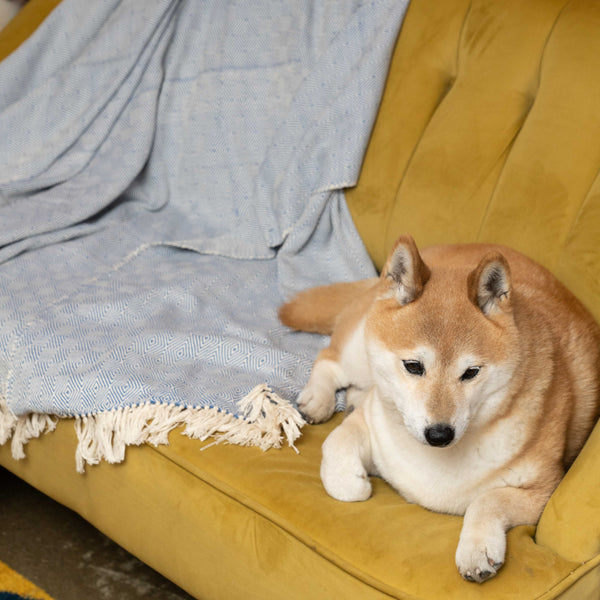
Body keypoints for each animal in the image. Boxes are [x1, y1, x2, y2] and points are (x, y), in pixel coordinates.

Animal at [280, 237, 600, 584]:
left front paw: (476, 548)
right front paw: (351, 483)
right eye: (413, 366)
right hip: (357, 352)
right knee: (329, 359)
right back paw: (319, 398)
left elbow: (488, 500)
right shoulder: (371, 421)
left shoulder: (544, 489)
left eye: (471, 372)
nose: (439, 434)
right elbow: (335, 444)